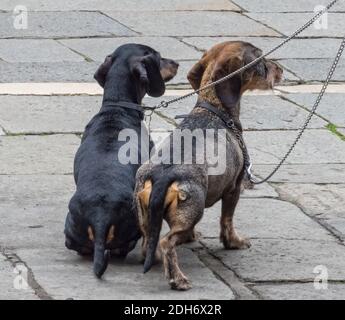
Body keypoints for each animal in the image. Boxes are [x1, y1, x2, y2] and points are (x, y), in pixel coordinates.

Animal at [133, 41, 280, 292]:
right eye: (261, 59)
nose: (280, 69)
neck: (213, 108)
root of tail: (163, 176)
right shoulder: (234, 188)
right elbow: (227, 220)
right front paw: (234, 242)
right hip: (193, 208)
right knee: (166, 242)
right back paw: (178, 279)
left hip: (145, 214)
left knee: (149, 242)